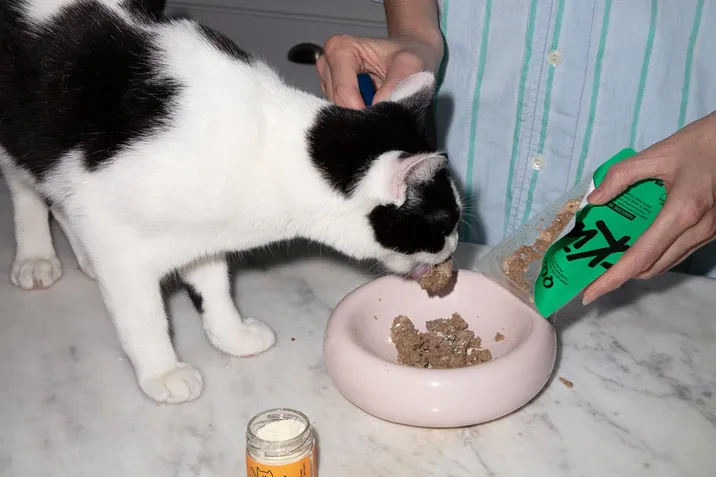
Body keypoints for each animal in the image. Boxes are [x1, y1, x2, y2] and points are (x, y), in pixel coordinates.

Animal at [0, 0, 462, 403]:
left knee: (57, 193)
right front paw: (162, 371)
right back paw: (36, 256)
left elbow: (212, 281)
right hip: (23, 128)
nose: (455, 246)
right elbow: (142, 313)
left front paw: (230, 333)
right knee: (26, 185)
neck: (268, 151)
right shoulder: (111, 227)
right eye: (443, 222)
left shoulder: (202, 229)